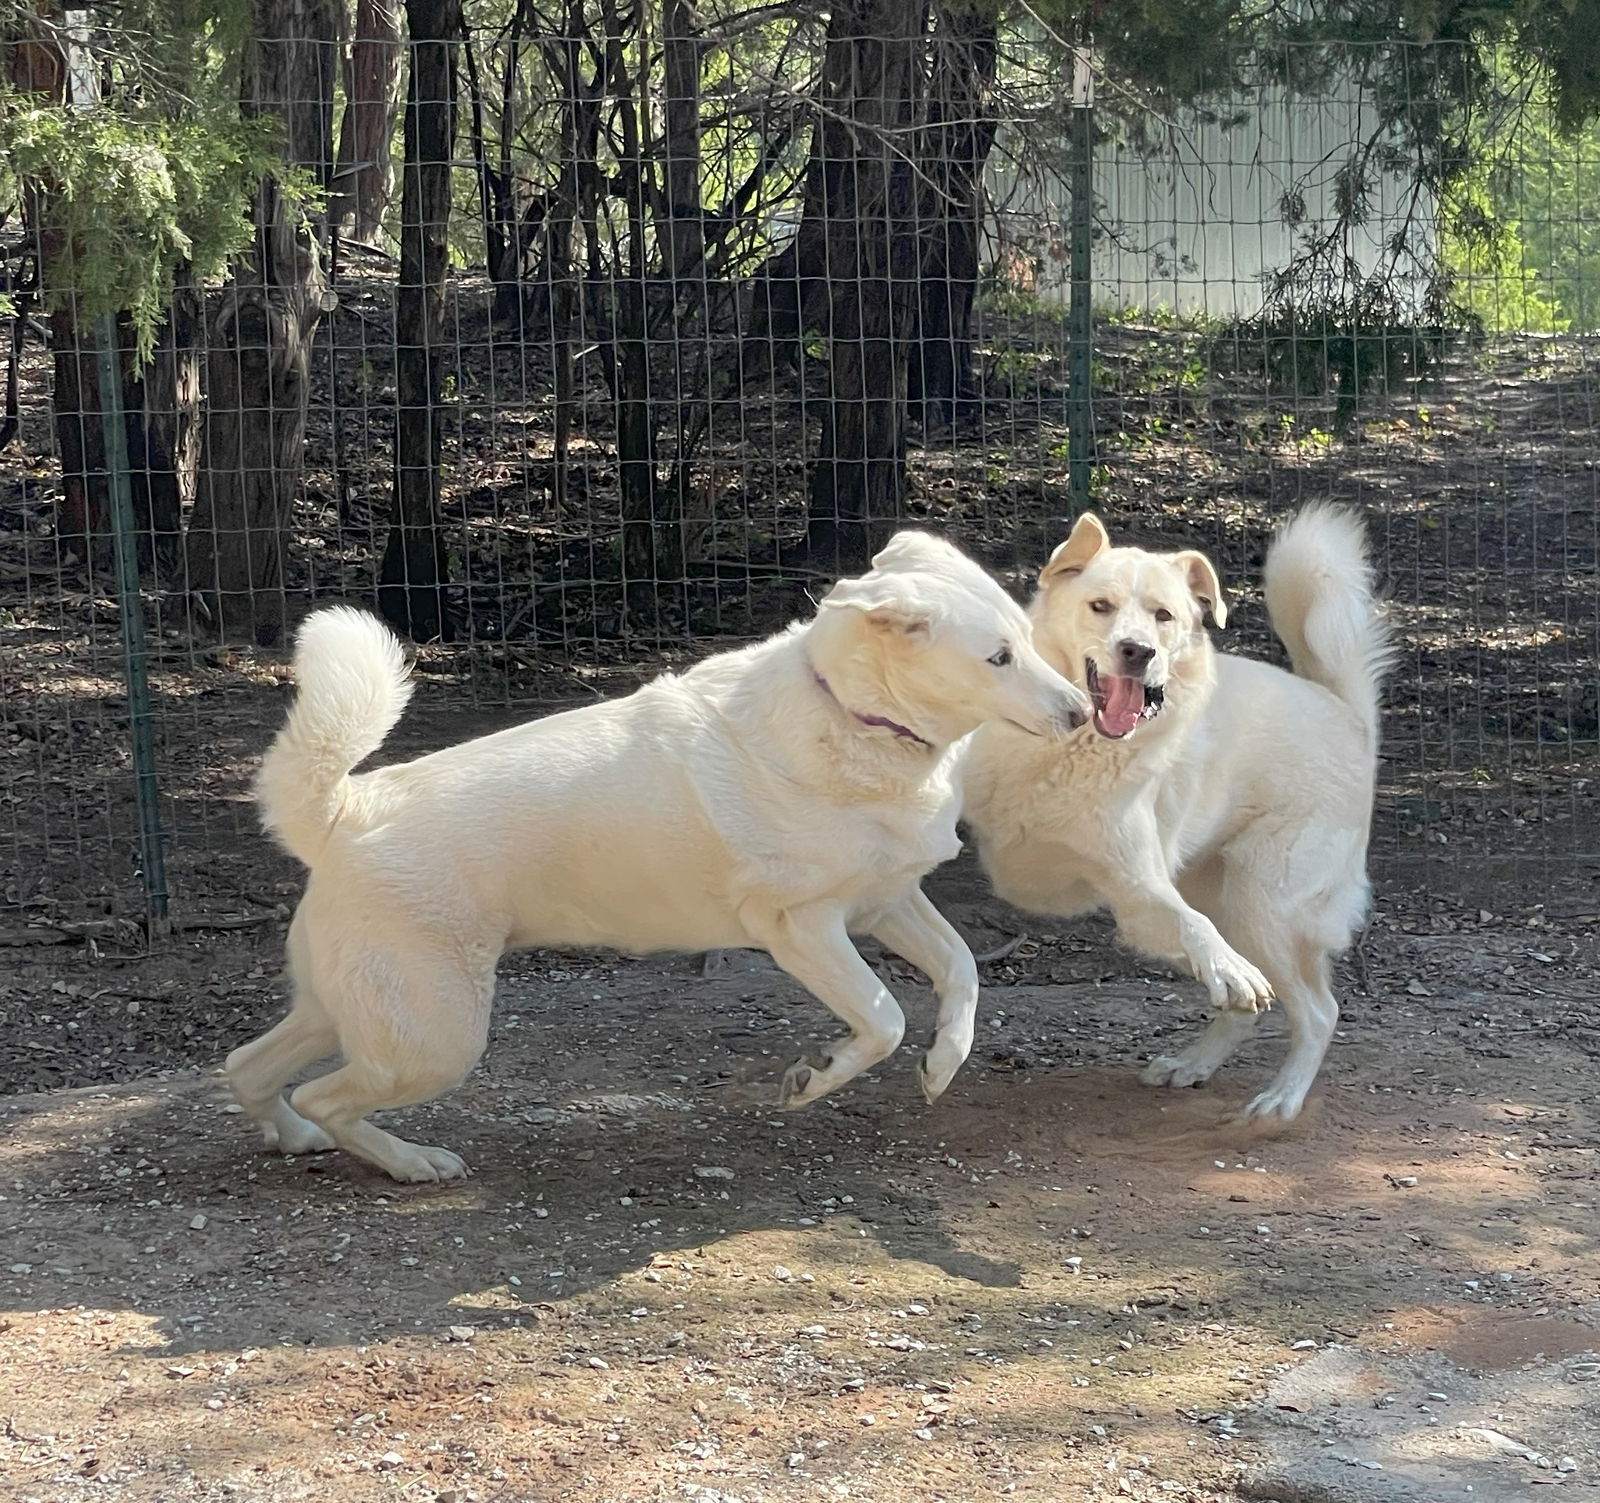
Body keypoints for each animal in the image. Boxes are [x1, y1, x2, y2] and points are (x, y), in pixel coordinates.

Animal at [225, 534, 1094, 1184]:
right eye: (998, 657)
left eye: (1024, 642)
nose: (1084, 712)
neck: (856, 715)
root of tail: (344, 810)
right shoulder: (803, 929)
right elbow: (882, 1017)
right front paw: (817, 1076)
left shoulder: (887, 902)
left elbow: (963, 971)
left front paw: (943, 1063)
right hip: (435, 1039)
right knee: (324, 1094)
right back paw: (409, 1160)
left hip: (345, 1012)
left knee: (249, 1065)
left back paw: (289, 1135)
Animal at [960, 505, 1388, 1114]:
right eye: (1101, 606)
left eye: (1163, 616)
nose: (1138, 652)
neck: (1071, 746)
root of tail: (1347, 715)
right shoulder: (1136, 902)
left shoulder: (1138, 887)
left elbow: (1195, 928)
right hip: (1207, 906)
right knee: (1246, 1004)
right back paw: (1195, 1061)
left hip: (1261, 906)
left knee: (1316, 1010)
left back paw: (1281, 1099)